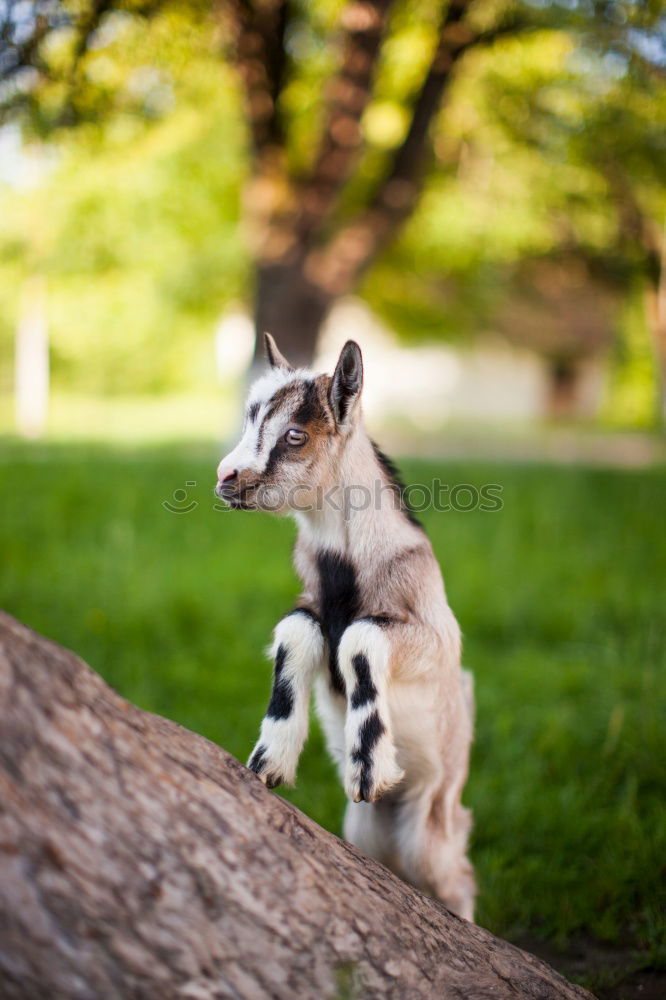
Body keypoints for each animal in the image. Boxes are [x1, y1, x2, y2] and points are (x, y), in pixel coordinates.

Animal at [215, 336, 474, 920]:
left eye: (296, 434)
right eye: (249, 417)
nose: (226, 478)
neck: (348, 564)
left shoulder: (436, 637)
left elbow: (360, 637)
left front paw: (369, 768)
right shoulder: (309, 604)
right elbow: (294, 632)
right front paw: (269, 761)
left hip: (431, 833)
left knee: (459, 881)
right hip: (365, 833)